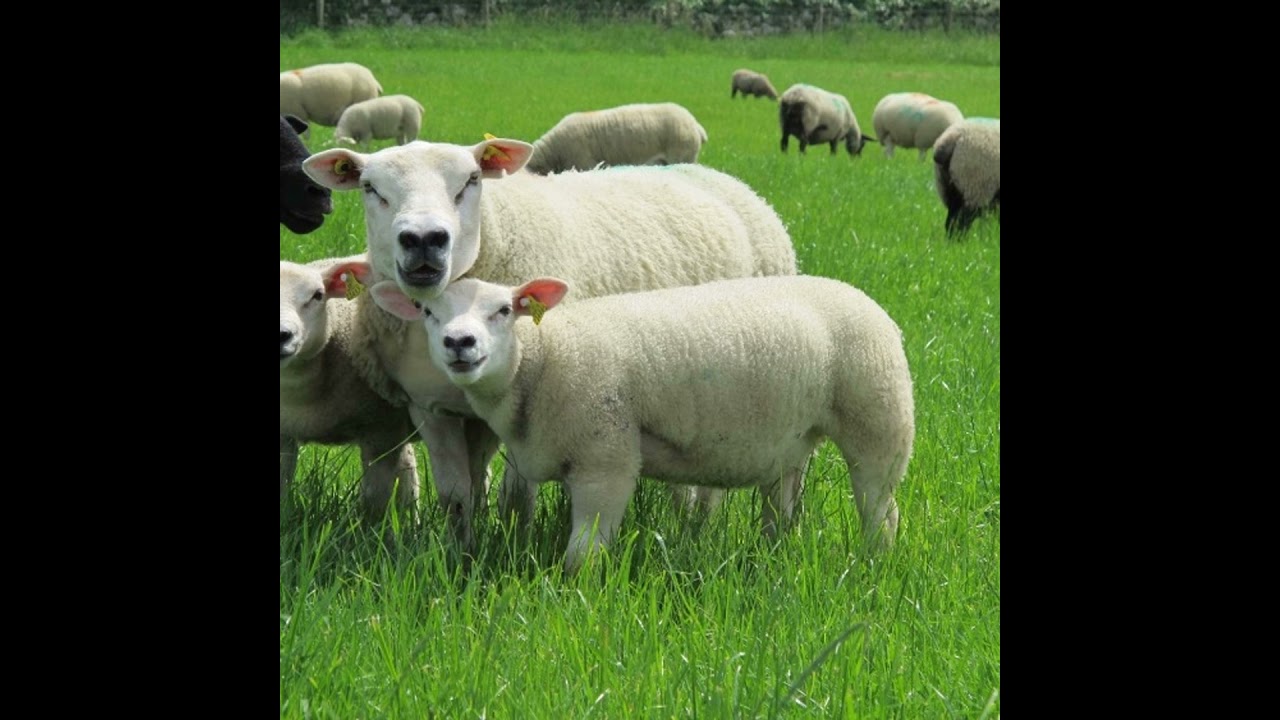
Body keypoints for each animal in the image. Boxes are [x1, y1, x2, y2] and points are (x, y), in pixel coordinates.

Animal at [301, 137, 798, 556]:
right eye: (370, 187)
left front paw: (515, 550)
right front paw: (461, 555)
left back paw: (696, 528)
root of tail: (726, 179)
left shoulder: (535, 400)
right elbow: (458, 496)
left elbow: (516, 497)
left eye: (472, 180)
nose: (424, 240)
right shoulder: (432, 408)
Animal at [370, 274, 915, 573]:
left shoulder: (606, 459)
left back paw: (875, 566)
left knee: (881, 512)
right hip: (794, 440)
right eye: (428, 312)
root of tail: (867, 300)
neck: (545, 357)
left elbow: (582, 556)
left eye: (504, 310)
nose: (458, 343)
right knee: (782, 511)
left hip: (879, 419)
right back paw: (774, 558)